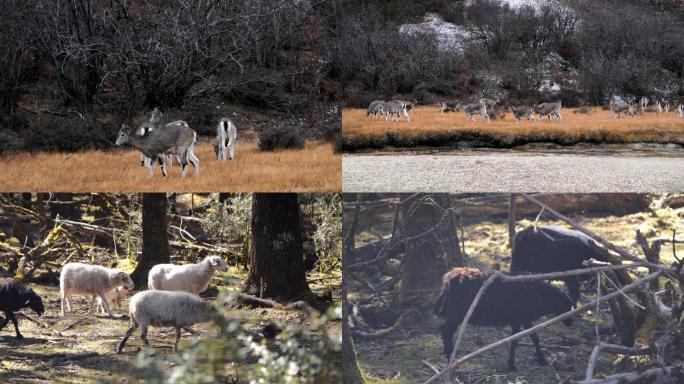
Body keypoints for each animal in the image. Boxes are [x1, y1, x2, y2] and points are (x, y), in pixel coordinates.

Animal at [436, 266, 576, 370]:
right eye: (567, 306)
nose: (570, 323)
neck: (541, 295)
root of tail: (448, 279)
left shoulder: (522, 320)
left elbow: (531, 338)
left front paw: (539, 360)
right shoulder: (521, 318)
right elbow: (519, 340)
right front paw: (514, 365)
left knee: (445, 330)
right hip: (458, 313)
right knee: (445, 330)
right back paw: (451, 362)